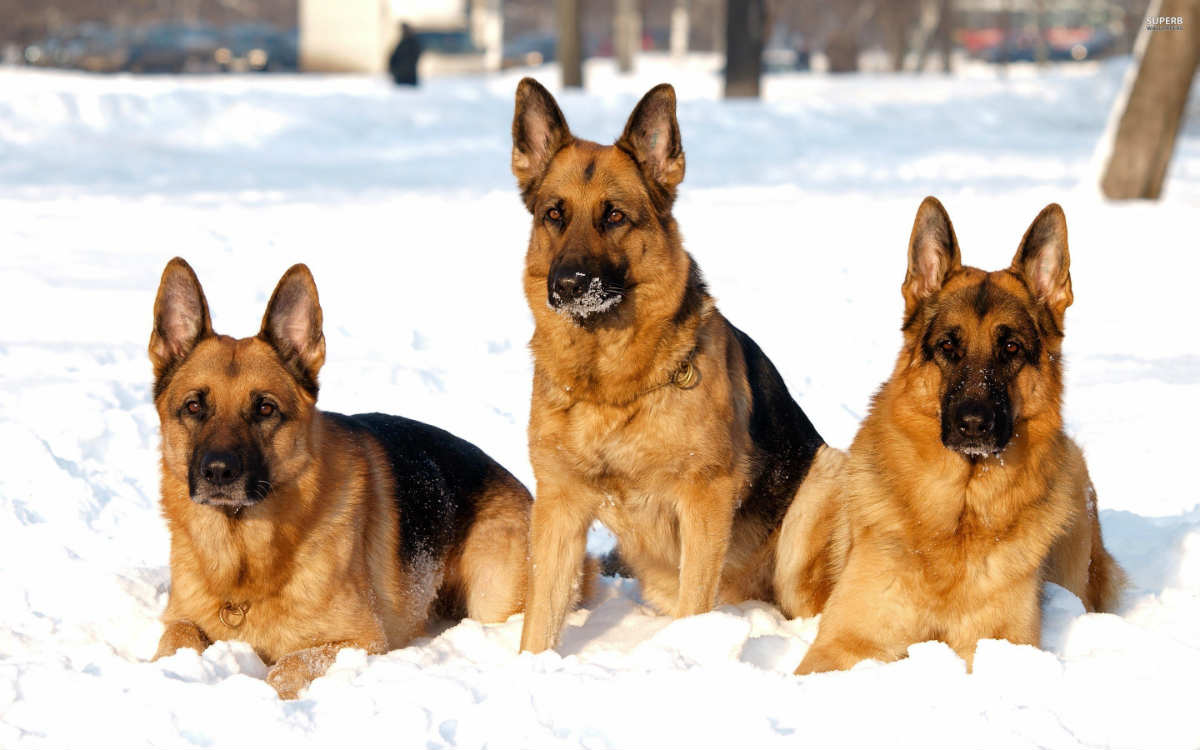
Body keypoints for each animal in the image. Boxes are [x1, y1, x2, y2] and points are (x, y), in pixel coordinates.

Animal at [145, 256, 530, 696]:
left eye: (265, 409)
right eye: (194, 407)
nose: (219, 471)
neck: (244, 558)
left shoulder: (359, 642)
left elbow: (288, 665)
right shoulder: (181, 619)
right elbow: (178, 639)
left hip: (491, 595)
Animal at [511, 77, 830, 648]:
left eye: (614, 215)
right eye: (555, 214)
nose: (566, 285)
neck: (609, 386)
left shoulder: (704, 498)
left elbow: (693, 606)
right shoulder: (558, 508)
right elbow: (539, 620)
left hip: (821, 482)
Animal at [787, 199, 1123, 672]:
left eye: (1011, 348)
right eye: (948, 346)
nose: (974, 424)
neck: (960, 514)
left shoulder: (998, 646)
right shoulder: (845, 645)